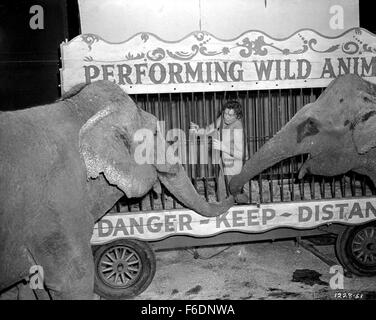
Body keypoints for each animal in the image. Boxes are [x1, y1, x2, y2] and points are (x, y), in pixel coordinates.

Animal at [0, 80, 234, 300]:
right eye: (155, 132)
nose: (232, 195)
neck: (78, 111)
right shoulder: (59, 213)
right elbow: (75, 281)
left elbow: (35, 285)